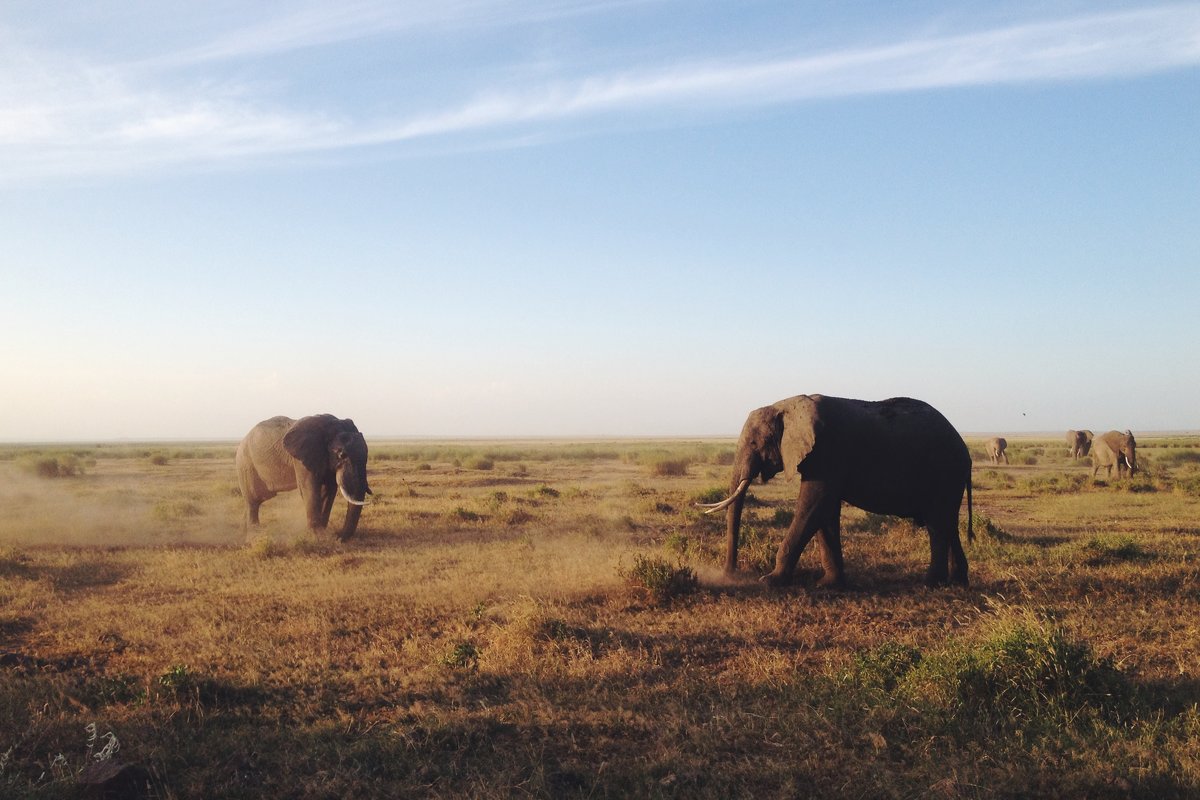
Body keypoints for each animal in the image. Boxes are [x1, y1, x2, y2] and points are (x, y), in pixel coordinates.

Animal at [231, 417, 367, 542]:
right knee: (254, 499)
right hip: (245, 464)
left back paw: (242, 533)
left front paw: (323, 534)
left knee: (256, 500)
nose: (339, 537)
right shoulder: (301, 459)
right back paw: (254, 537)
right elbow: (309, 488)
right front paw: (321, 538)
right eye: (342, 455)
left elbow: (328, 490)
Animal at [700, 393, 969, 587]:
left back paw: (930, 583)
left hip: (944, 472)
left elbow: (813, 505)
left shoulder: (828, 451)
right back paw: (958, 582)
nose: (729, 575)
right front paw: (828, 584)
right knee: (948, 524)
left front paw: (769, 581)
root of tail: (964, 448)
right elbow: (824, 512)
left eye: (755, 442)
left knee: (937, 525)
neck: (787, 405)